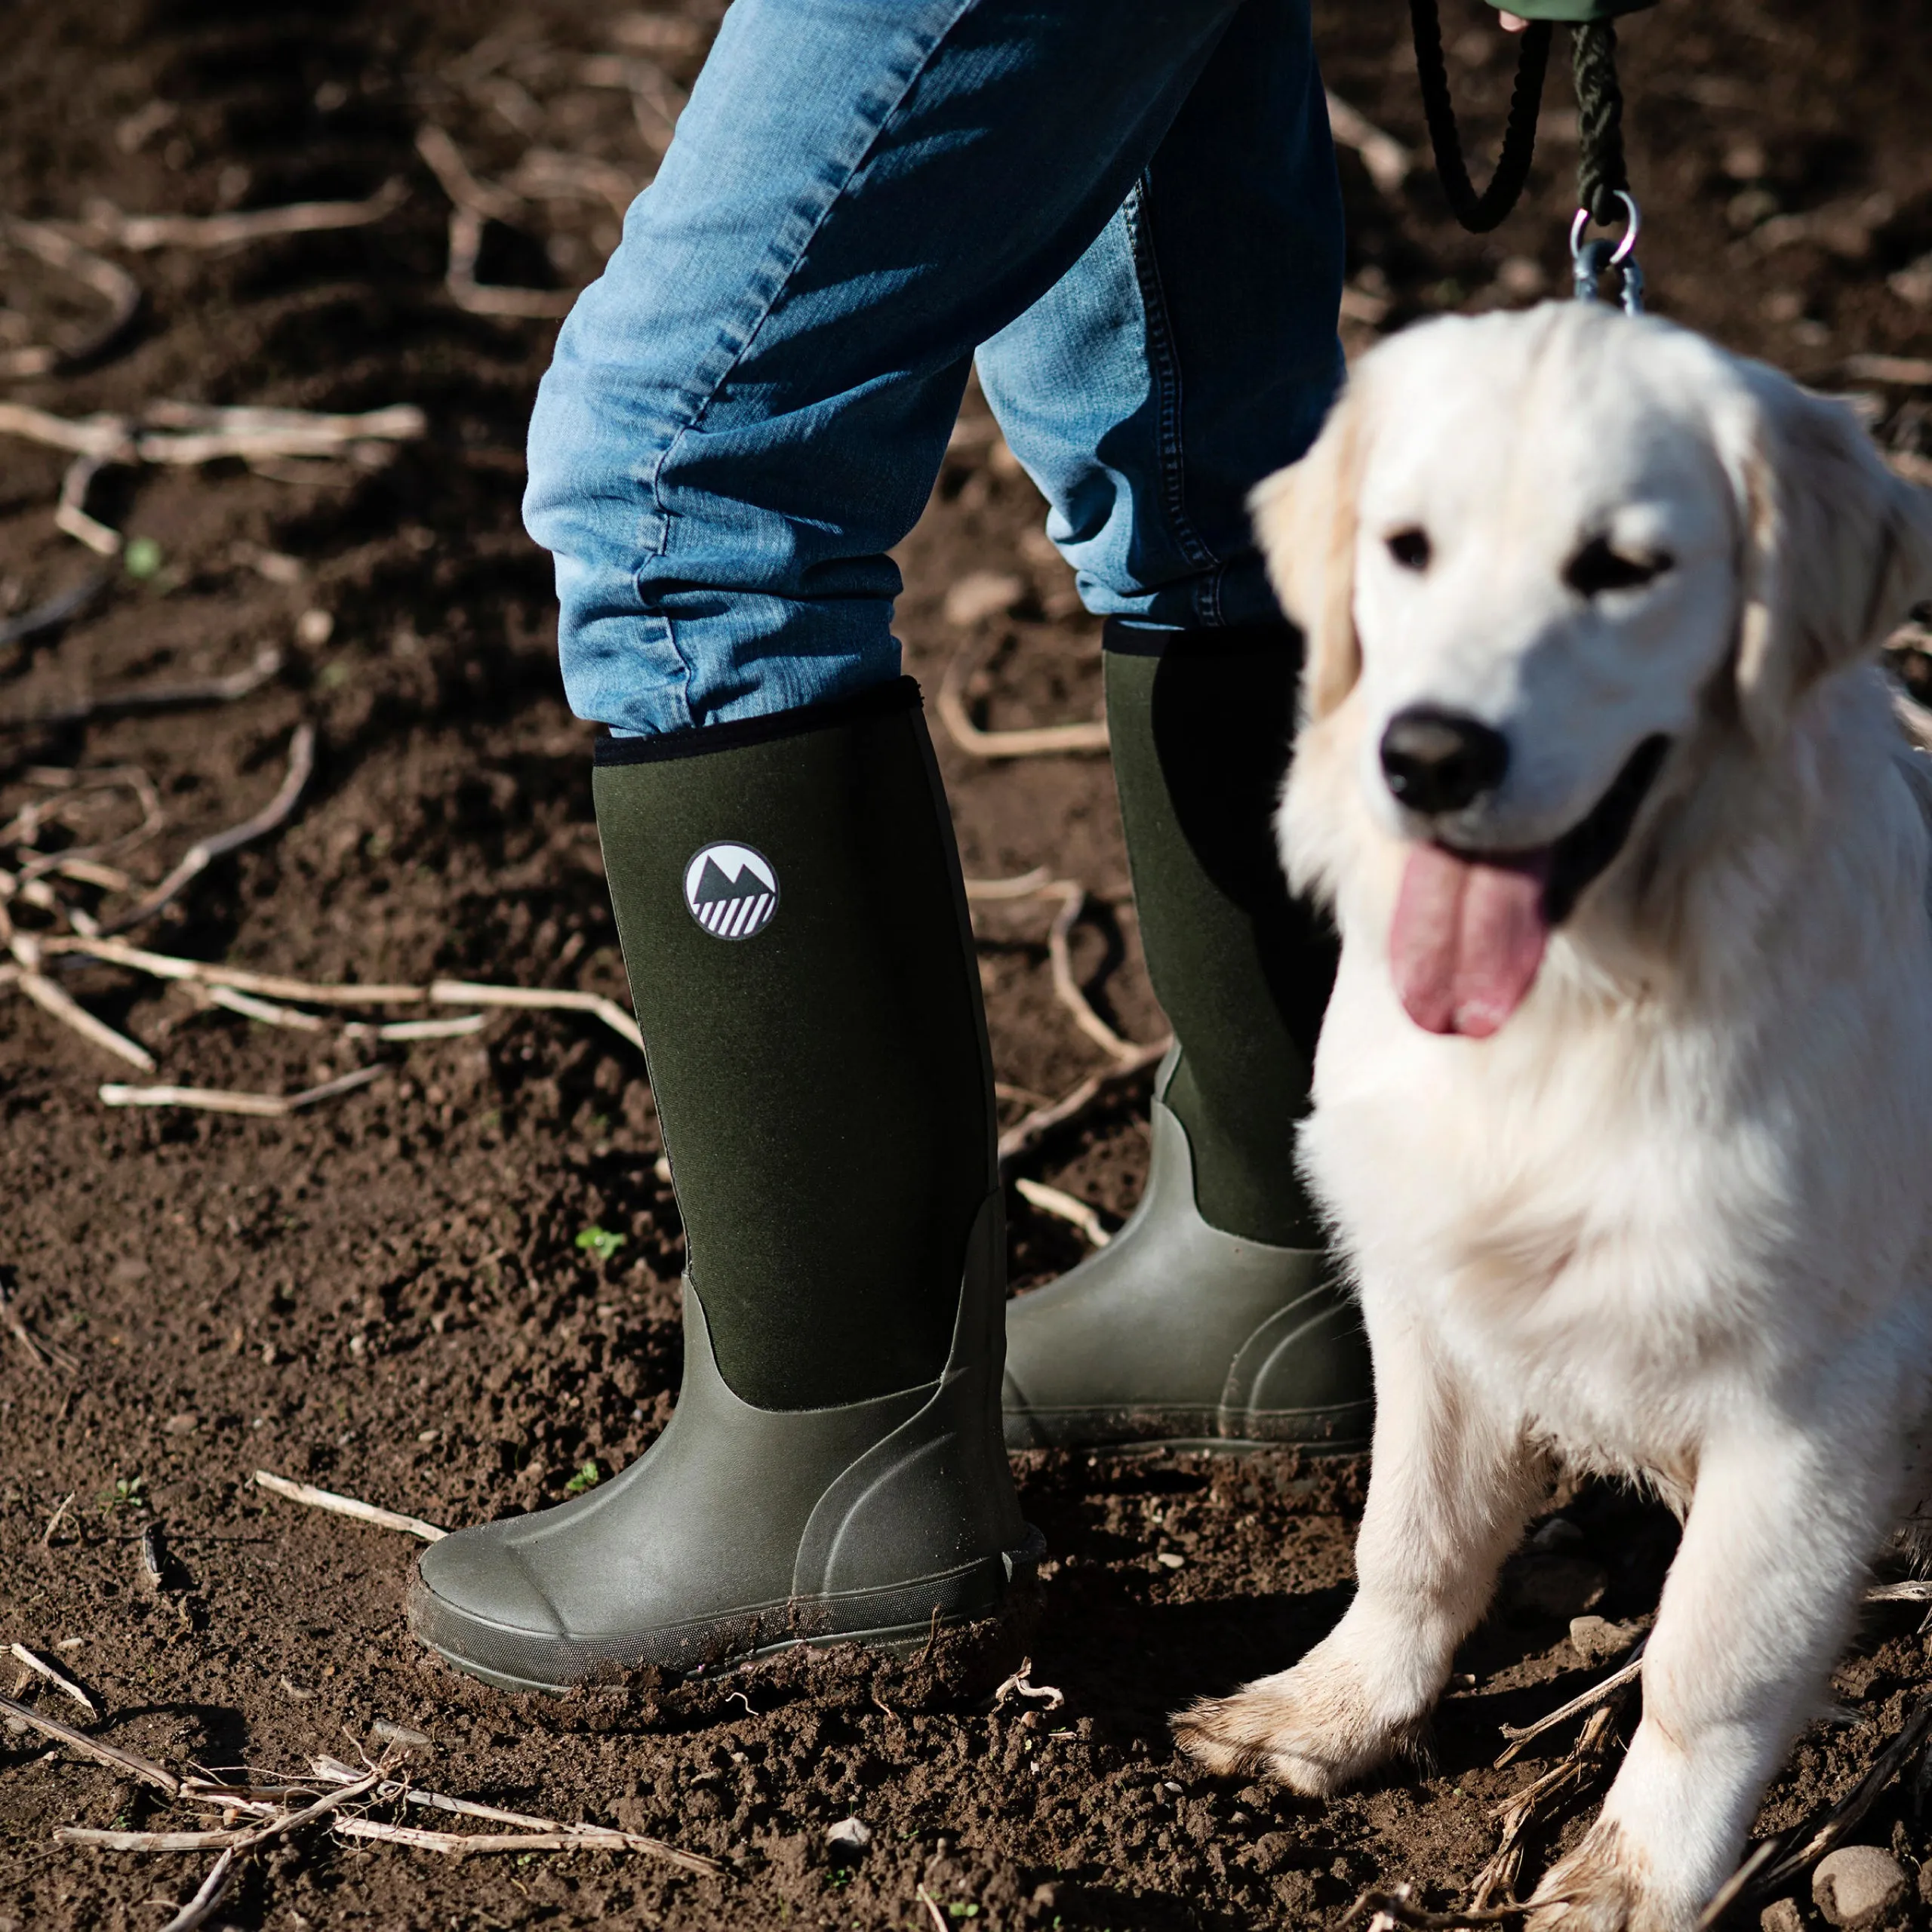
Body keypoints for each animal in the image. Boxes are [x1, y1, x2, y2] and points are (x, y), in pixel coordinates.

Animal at [1167, 305, 1932, 1932]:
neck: (1580, 1006)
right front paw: (1333, 1709)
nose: (1429, 756)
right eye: (1406, 547)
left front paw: (1636, 1874)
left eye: (1621, 568)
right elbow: (1409, 1536)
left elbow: (1708, 1665)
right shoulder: (1434, 1304)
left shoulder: (1817, 1403)